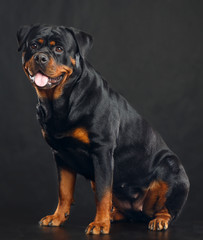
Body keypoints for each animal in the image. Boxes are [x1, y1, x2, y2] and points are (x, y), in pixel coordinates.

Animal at [16, 24, 190, 234]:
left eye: (58, 49)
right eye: (33, 45)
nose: (40, 57)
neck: (60, 101)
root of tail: (140, 212)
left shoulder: (102, 151)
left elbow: (102, 193)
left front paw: (99, 224)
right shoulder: (61, 155)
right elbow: (64, 191)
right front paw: (57, 217)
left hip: (171, 167)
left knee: (167, 209)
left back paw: (159, 220)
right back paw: (114, 216)